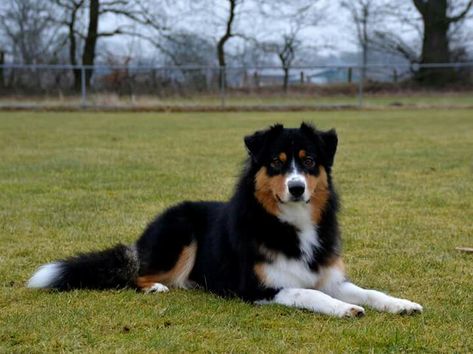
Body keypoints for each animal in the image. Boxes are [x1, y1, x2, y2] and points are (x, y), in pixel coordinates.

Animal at [27, 123, 422, 316]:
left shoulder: (329, 276)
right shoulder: (258, 288)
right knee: (135, 275)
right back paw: (155, 287)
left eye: (309, 162)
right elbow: (309, 294)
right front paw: (346, 309)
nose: (296, 188)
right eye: (276, 162)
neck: (291, 223)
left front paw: (401, 304)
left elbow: (368, 291)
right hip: (181, 233)